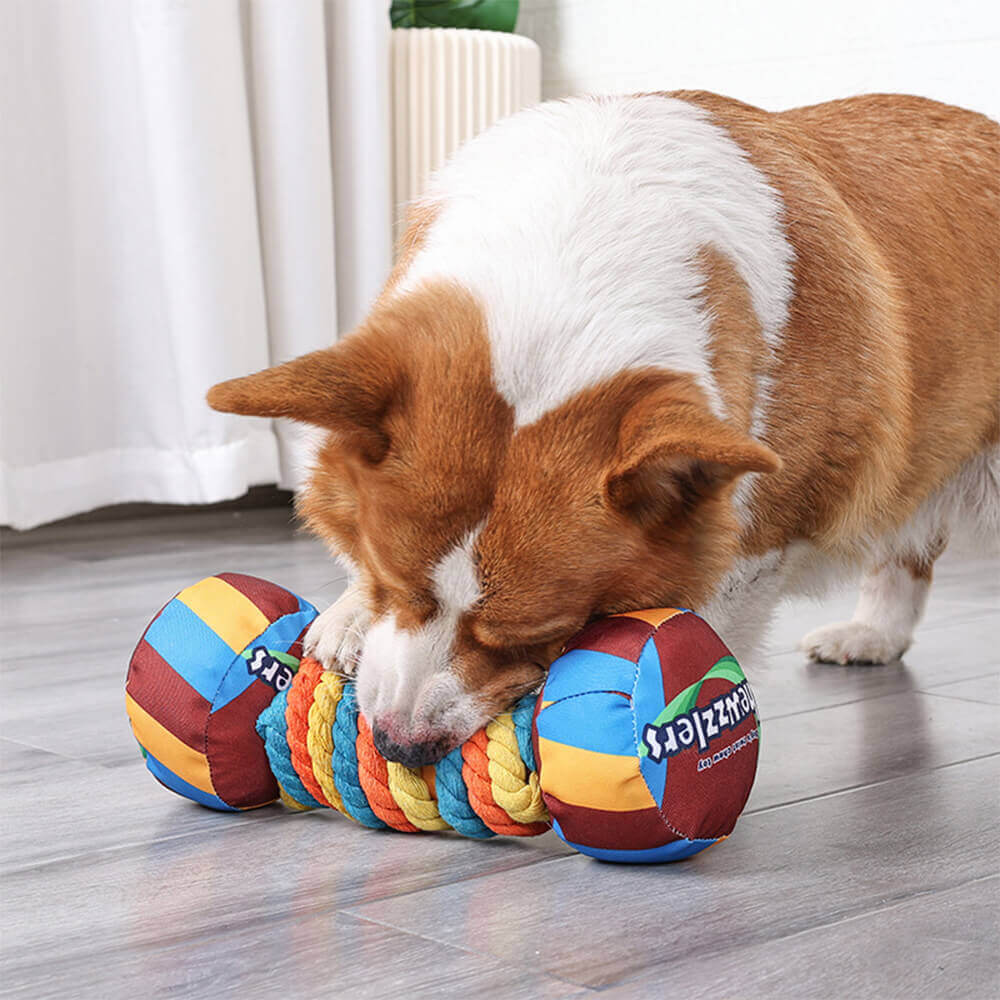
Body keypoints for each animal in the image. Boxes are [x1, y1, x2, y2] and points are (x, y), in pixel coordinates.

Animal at [207, 92, 996, 764]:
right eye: (387, 583)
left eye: (547, 635)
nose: (401, 749)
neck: (560, 268)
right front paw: (345, 620)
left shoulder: (756, 537)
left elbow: (697, 618)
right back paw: (871, 636)